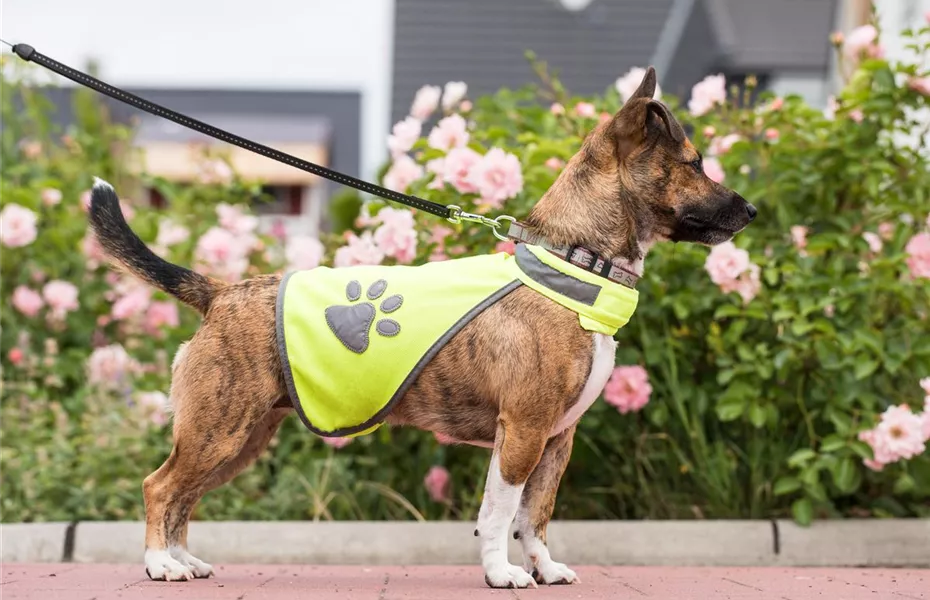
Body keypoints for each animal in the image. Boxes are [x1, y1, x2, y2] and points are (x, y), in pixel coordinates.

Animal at [87, 68, 752, 588]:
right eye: (694, 164)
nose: (750, 210)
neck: (574, 261)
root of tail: (220, 292)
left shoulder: (555, 440)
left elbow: (534, 516)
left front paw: (542, 568)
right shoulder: (523, 432)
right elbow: (499, 511)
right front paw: (502, 574)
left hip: (239, 438)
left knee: (183, 496)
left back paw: (181, 560)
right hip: (218, 431)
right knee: (160, 487)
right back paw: (158, 564)